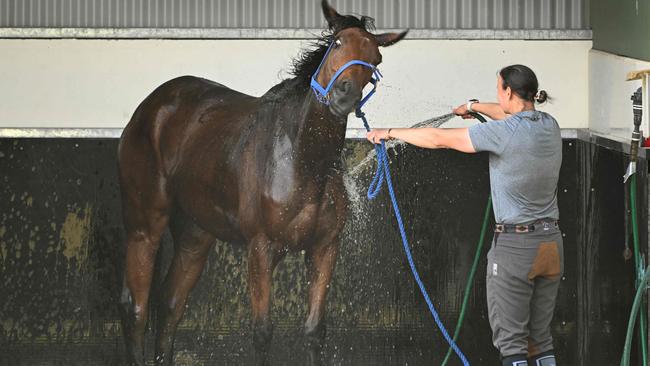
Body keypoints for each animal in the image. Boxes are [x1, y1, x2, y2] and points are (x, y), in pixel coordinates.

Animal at [116, 1, 404, 364]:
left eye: (376, 60)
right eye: (337, 43)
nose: (345, 97)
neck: (301, 160)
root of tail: (150, 108)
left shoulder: (324, 248)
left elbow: (314, 331)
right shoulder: (260, 248)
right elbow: (262, 332)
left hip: (195, 233)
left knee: (170, 303)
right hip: (144, 224)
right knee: (135, 307)